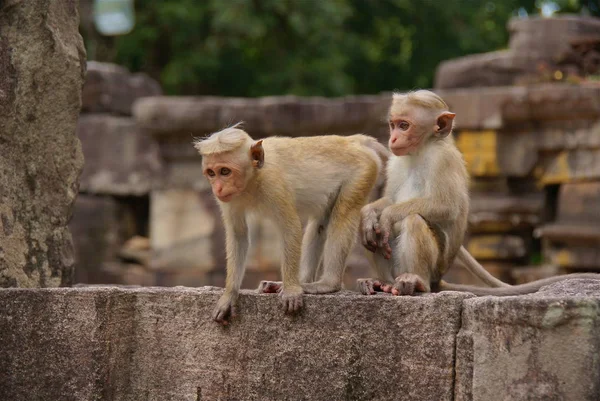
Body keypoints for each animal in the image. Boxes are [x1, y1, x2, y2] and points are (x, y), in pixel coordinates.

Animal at [195, 123, 386, 324]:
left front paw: (292, 291)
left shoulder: (273, 183)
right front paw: (229, 295)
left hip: (363, 171)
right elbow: (238, 235)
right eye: (211, 173)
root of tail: (355, 140)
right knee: (320, 222)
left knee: (343, 212)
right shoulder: (229, 200)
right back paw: (300, 281)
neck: (253, 178)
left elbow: (290, 227)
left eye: (225, 171)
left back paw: (327, 284)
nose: (217, 188)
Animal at [358, 90, 596, 296]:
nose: (393, 139)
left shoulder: (443, 159)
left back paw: (416, 282)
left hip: (437, 265)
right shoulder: (395, 161)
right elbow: (389, 199)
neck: (421, 150)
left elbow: (446, 206)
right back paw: (383, 281)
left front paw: (387, 215)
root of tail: (438, 279)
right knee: (369, 232)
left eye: (404, 125)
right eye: (393, 125)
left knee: (414, 220)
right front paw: (369, 212)